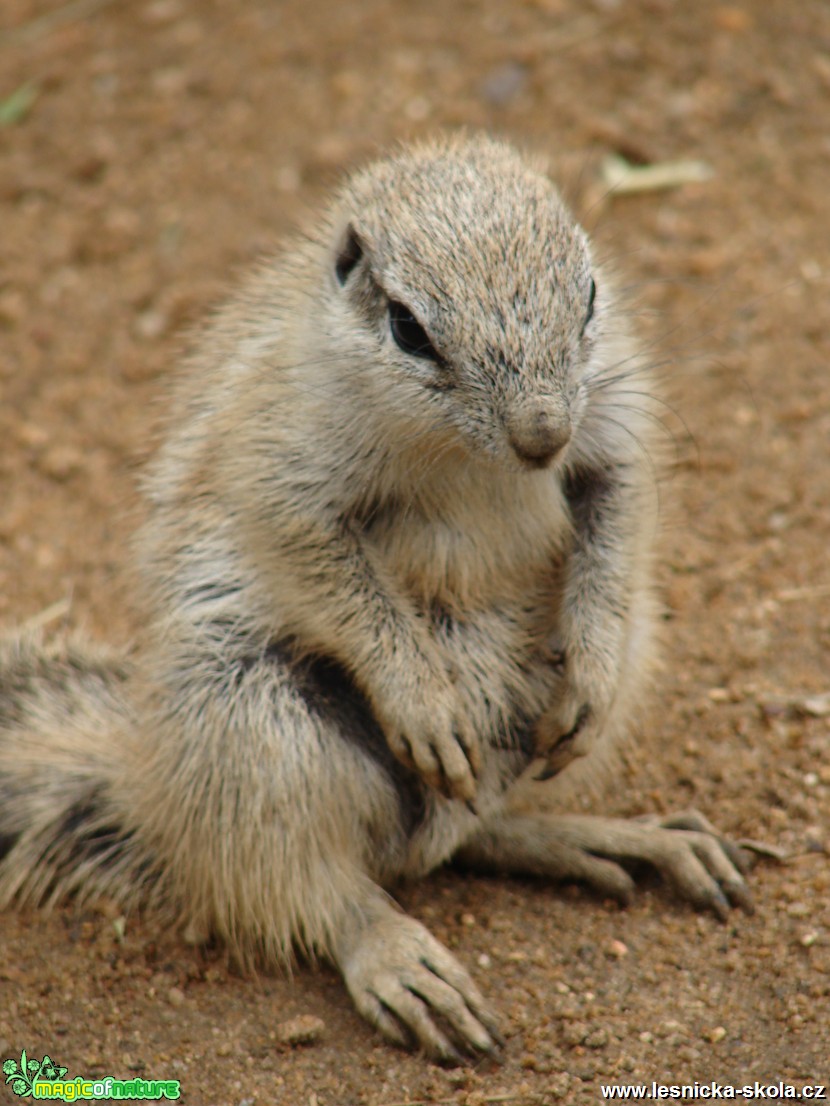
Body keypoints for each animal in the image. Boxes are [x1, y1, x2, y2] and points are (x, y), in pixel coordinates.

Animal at [1, 136, 752, 1061]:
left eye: (589, 295)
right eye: (408, 328)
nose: (543, 436)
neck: (471, 459)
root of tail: (148, 790)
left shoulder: (614, 417)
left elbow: (616, 508)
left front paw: (592, 671)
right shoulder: (287, 463)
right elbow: (333, 575)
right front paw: (421, 702)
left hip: (599, 669)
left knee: (472, 828)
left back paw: (614, 835)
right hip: (246, 716)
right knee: (313, 884)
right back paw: (400, 957)